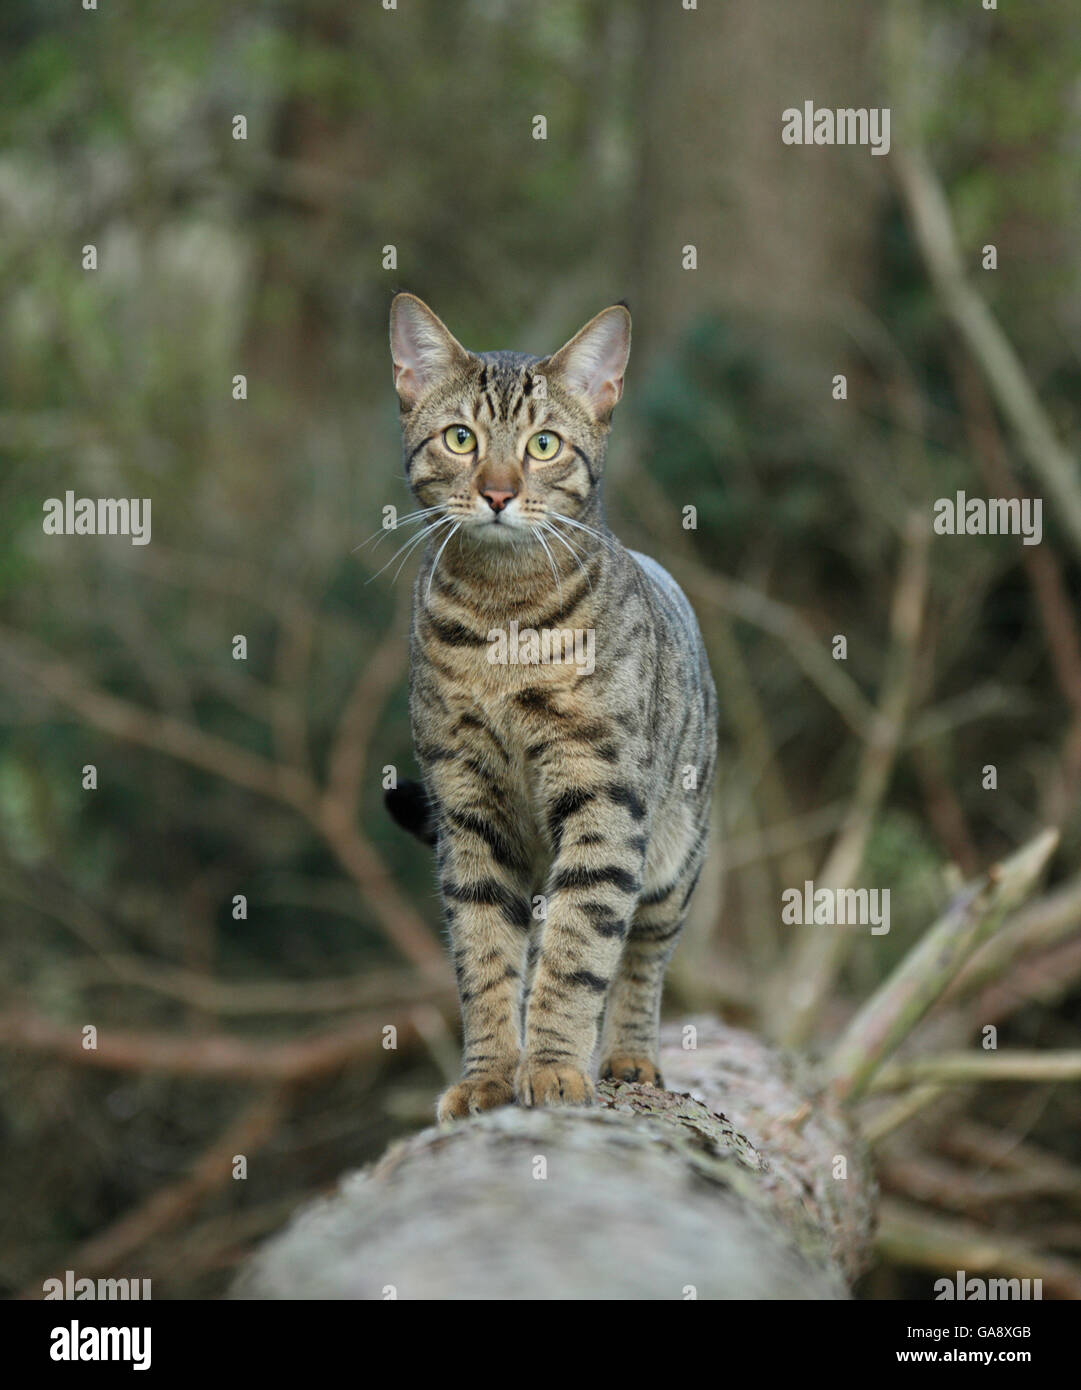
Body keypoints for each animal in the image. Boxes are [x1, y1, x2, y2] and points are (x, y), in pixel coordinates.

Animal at [383, 293, 711, 1117]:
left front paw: (556, 1066)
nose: (498, 492)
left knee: (641, 958)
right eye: (460, 438)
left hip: (675, 857)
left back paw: (628, 1057)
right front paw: (488, 1075)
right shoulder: (467, 809)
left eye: (543, 445)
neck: (501, 615)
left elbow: (580, 949)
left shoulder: (602, 796)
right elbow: (486, 958)